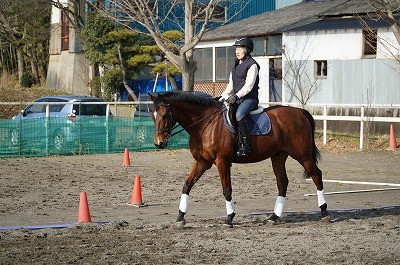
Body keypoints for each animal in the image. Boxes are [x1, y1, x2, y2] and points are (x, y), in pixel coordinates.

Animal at [148, 91, 330, 227]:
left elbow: (226, 190)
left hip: (302, 155)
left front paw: (229, 218)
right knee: (282, 183)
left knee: (316, 175)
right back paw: (274, 217)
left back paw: (324, 212)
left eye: (165, 115)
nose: (159, 143)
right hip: (278, 157)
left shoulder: (222, 162)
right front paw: (180, 217)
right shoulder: (202, 162)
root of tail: (300, 112)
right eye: (153, 115)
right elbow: (187, 185)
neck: (205, 124)